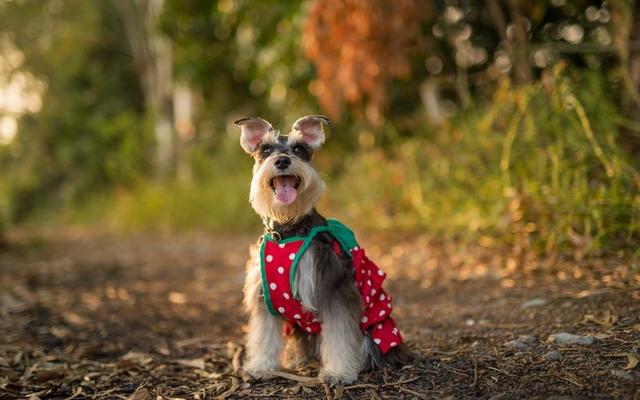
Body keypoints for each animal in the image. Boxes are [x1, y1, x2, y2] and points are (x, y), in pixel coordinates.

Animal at [235, 115, 404, 384]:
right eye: (266, 150)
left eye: (299, 150)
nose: (282, 161)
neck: (288, 230)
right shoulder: (265, 298)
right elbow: (264, 335)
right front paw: (261, 366)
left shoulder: (334, 289)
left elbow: (340, 336)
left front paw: (338, 372)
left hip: (375, 332)